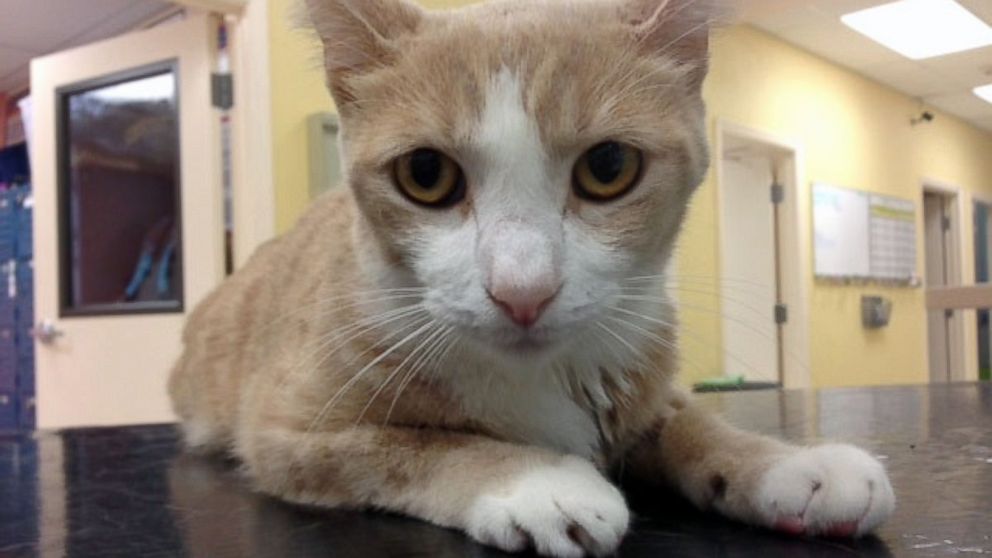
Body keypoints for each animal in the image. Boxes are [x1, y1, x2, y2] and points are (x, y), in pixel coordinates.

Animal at [167, 1, 896, 556]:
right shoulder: (285, 434)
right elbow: (413, 445)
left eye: (608, 166)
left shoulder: (642, 383)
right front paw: (540, 480)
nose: (523, 291)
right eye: (425, 175)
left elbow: (690, 424)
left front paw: (788, 464)